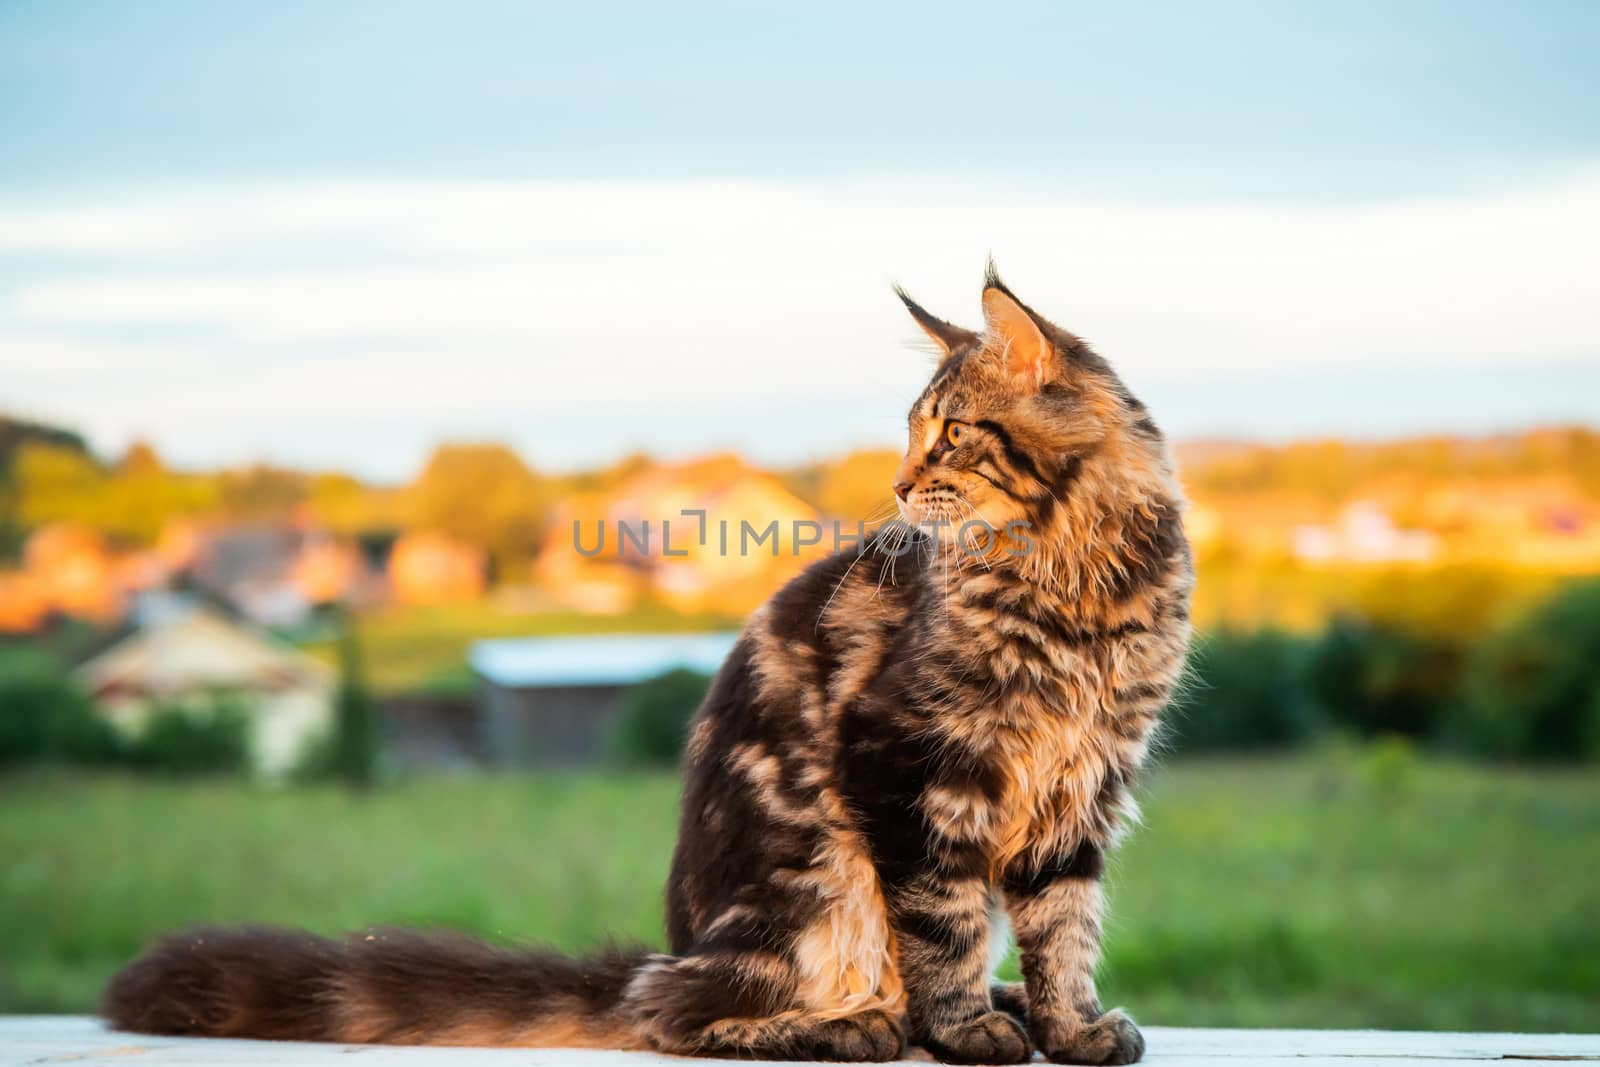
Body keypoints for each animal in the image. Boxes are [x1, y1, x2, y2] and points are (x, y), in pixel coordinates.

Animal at [106, 265, 1196, 1062]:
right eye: (911, 431)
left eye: (953, 432)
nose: (895, 482)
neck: (1077, 579)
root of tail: (682, 939)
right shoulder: (909, 758)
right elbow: (946, 920)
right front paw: (967, 1028)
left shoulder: (1087, 779)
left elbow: (1063, 924)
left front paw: (1066, 1025)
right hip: (818, 882)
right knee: (671, 1010)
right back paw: (856, 1024)